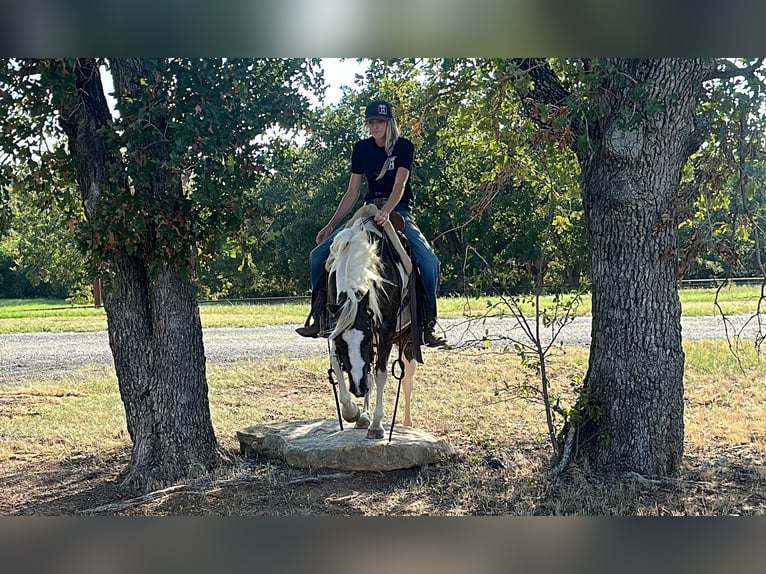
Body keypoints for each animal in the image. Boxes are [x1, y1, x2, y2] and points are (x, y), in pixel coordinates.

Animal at [324, 206, 420, 440]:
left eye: (365, 338)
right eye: (342, 344)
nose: (357, 389)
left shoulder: (384, 330)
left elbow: (380, 374)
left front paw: (377, 425)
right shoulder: (335, 326)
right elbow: (337, 365)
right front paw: (353, 412)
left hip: (407, 341)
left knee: (407, 380)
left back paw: (407, 423)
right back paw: (364, 416)